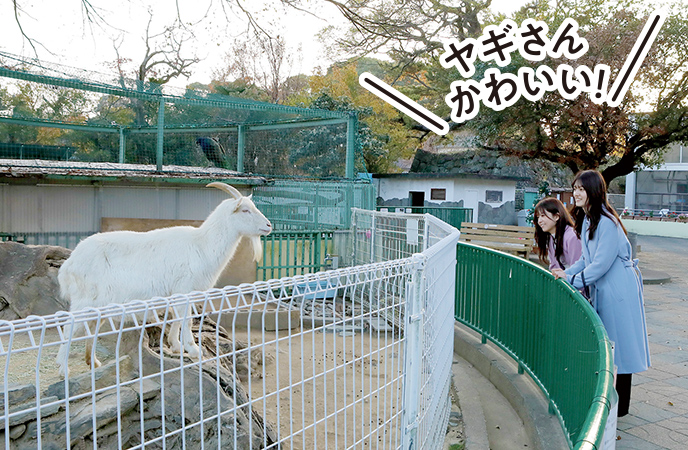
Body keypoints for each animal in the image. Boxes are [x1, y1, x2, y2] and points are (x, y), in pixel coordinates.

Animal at [56, 182, 272, 376]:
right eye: (245, 210)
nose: (269, 225)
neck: (202, 244)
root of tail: (68, 265)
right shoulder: (184, 288)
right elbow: (186, 319)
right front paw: (193, 350)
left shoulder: (177, 292)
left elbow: (176, 317)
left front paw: (175, 346)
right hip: (84, 300)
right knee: (68, 328)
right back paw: (63, 370)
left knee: (91, 328)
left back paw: (92, 362)